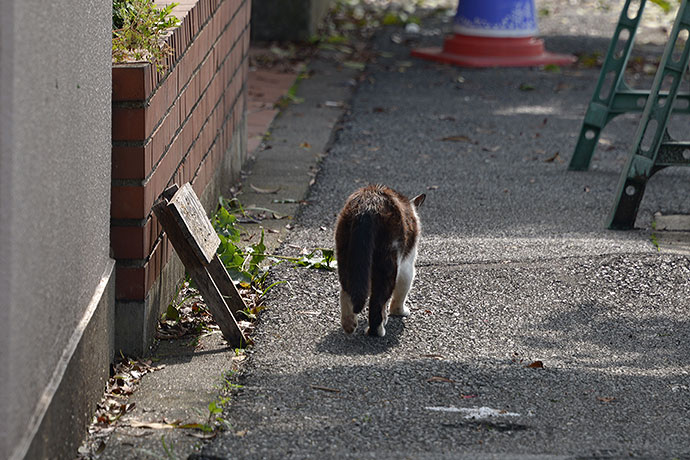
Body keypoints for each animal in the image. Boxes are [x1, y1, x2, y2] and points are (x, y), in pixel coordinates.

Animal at [334, 184, 424, 338]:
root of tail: (367, 208)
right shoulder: (407, 265)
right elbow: (401, 291)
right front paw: (398, 312)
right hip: (388, 261)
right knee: (378, 300)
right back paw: (376, 331)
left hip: (346, 253)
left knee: (346, 290)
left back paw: (349, 325)